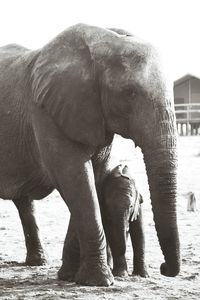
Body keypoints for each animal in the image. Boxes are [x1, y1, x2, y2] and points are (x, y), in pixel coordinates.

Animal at [0, 22, 180, 286]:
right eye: (129, 93)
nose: (164, 267)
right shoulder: (46, 111)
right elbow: (74, 177)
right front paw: (99, 281)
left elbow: (92, 178)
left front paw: (70, 277)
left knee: (24, 202)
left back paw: (38, 262)